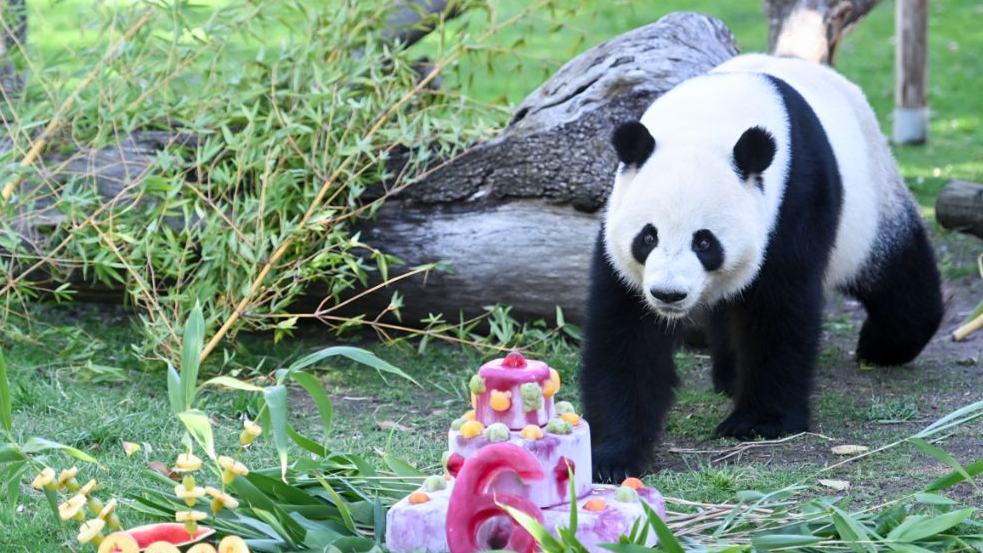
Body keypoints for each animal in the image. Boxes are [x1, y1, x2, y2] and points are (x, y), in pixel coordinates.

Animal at [579, 54, 945, 482]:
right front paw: (611, 456)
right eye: (647, 237)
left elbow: (778, 311)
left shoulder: (793, 200)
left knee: (895, 275)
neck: (707, 118)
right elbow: (626, 335)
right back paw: (729, 376)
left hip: (871, 200)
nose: (669, 294)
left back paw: (880, 346)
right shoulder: (618, 229)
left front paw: (759, 422)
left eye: (704, 242)